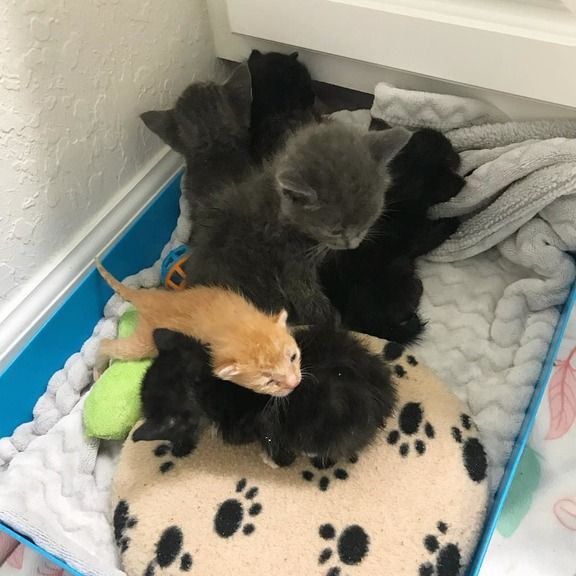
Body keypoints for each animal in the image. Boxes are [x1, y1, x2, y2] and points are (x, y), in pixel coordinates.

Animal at [95, 260, 301, 396]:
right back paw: (98, 369)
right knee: (106, 344)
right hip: (143, 343)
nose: (295, 383)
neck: (240, 328)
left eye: (293, 357)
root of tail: (153, 299)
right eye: (269, 381)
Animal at [184, 121, 411, 325]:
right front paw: (326, 317)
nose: (353, 244)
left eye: (368, 222)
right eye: (335, 231)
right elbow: (303, 291)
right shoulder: (291, 259)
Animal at [320, 126, 465, 344]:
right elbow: (431, 237)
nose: (458, 154)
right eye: (450, 155)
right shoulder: (416, 234)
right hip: (399, 267)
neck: (405, 183)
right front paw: (453, 221)